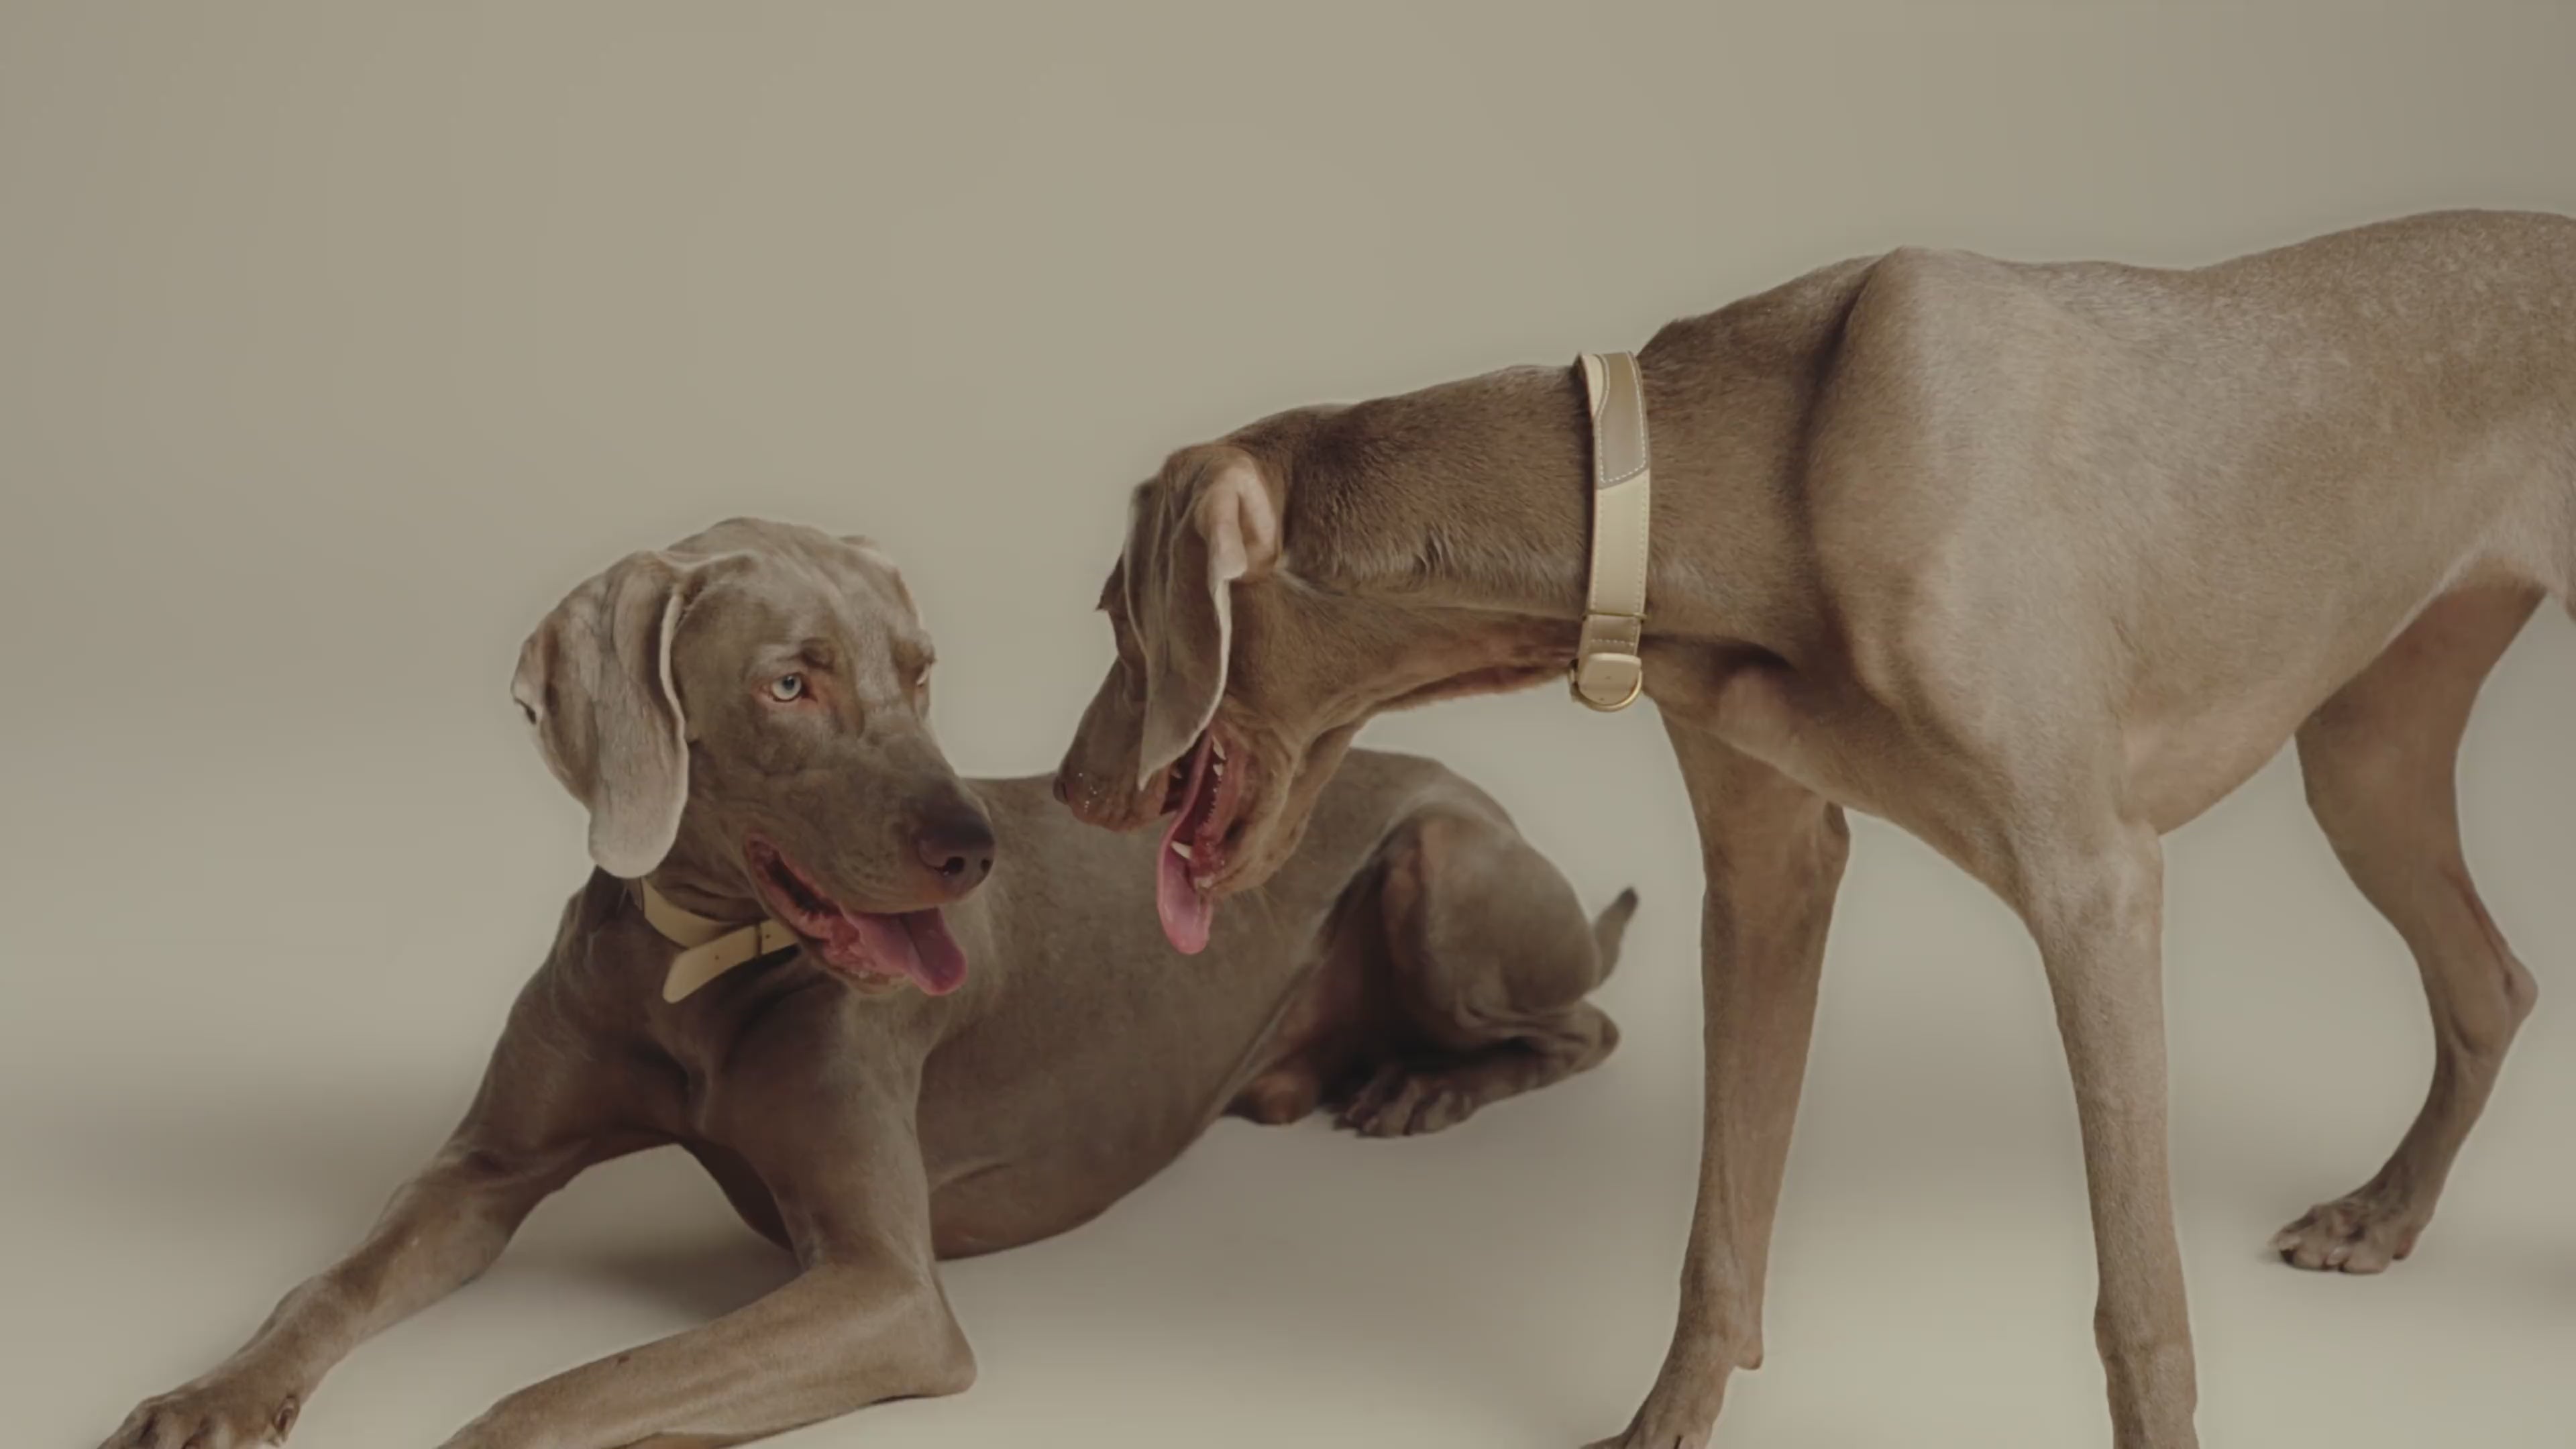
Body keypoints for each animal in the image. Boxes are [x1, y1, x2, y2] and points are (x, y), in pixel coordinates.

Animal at [105, 515, 1627, 1444]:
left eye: (921, 671)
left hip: (1447, 869)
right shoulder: (480, 1171)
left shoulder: (885, 1289)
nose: (974, 843)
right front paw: (208, 1393)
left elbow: (576, 1390)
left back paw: (1423, 1087)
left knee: (1590, 1021)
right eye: (793, 684)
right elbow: (331, 1285)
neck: (697, 963)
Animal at [1051, 206, 2576, 1444]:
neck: (1734, 480)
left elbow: (2138, 1305)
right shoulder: (1766, 872)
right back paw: (2385, 1216)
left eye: (1119, 619)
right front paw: (1663, 1424)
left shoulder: (2097, 887)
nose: (1065, 791)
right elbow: (1720, 1226)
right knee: (2490, 982)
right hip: (2366, 756)